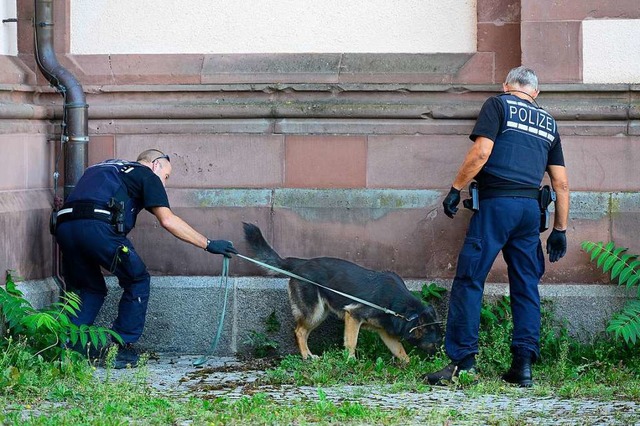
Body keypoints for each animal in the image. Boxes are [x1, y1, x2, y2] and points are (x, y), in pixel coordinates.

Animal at [242, 223, 442, 362]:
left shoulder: (386, 333)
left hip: (320, 313)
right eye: (436, 343)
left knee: (303, 332)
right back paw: (306, 356)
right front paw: (351, 361)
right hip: (315, 312)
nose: (439, 359)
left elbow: (400, 350)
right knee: (299, 331)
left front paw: (408, 363)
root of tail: (300, 263)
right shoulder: (353, 315)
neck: (404, 310)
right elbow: (352, 342)